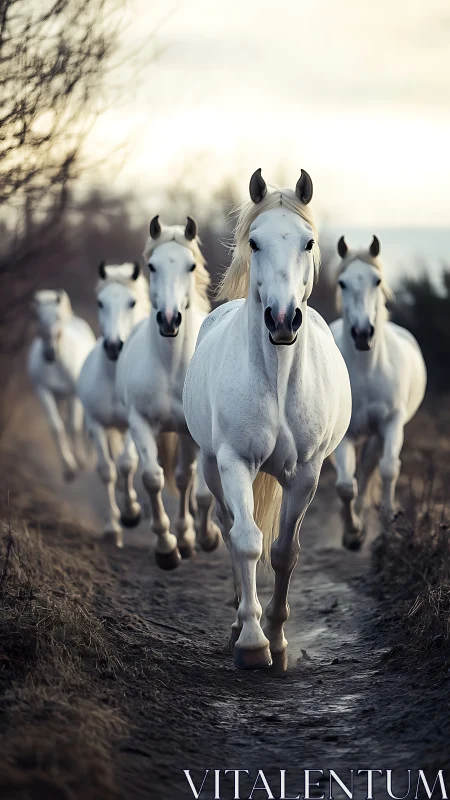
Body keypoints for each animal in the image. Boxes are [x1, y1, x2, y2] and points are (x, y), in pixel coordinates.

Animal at [28, 289, 96, 481]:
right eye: (36, 315)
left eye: (57, 316)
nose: (49, 354)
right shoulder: (44, 392)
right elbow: (57, 427)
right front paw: (69, 469)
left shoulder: (74, 394)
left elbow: (74, 426)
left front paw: (80, 461)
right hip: (59, 398)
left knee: (81, 424)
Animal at [77, 262, 150, 547]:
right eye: (101, 302)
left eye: (132, 302)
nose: (112, 345)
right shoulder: (96, 424)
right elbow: (107, 470)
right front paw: (113, 528)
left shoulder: (133, 422)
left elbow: (126, 463)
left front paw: (131, 513)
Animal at [115, 215, 220, 568]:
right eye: (152, 266)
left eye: (191, 266)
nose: (170, 319)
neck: (171, 366)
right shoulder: (140, 423)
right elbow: (152, 477)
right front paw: (166, 547)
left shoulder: (192, 434)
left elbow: (191, 482)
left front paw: (198, 537)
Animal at [182, 169, 352, 670]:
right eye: (254, 243)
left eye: (308, 242)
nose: (281, 319)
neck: (276, 378)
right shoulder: (235, 463)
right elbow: (246, 541)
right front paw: (253, 642)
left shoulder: (306, 473)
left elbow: (282, 552)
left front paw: (276, 639)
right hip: (210, 467)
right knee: (228, 527)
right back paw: (239, 624)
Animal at [330, 235, 427, 549]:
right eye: (343, 283)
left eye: (377, 280)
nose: (363, 334)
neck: (366, 370)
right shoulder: (346, 434)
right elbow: (345, 485)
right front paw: (352, 533)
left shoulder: (391, 423)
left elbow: (388, 469)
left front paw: (387, 527)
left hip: (379, 431)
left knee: (371, 465)